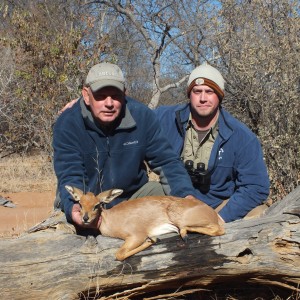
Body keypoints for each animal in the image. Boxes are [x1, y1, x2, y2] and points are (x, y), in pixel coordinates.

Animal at [66, 185, 225, 260]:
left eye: (97, 205)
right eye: (80, 204)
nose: (85, 218)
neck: (110, 219)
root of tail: (211, 212)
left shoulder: (137, 235)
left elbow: (119, 254)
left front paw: (152, 240)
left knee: (219, 230)